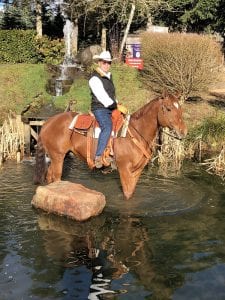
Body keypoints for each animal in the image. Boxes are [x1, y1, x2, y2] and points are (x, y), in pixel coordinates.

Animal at [33, 91, 187, 199]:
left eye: (180, 109)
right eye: (168, 108)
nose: (183, 131)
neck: (136, 133)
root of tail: (47, 122)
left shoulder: (137, 171)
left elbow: (131, 193)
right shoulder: (124, 169)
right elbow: (127, 193)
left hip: (59, 157)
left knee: (49, 176)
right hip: (57, 156)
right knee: (56, 177)